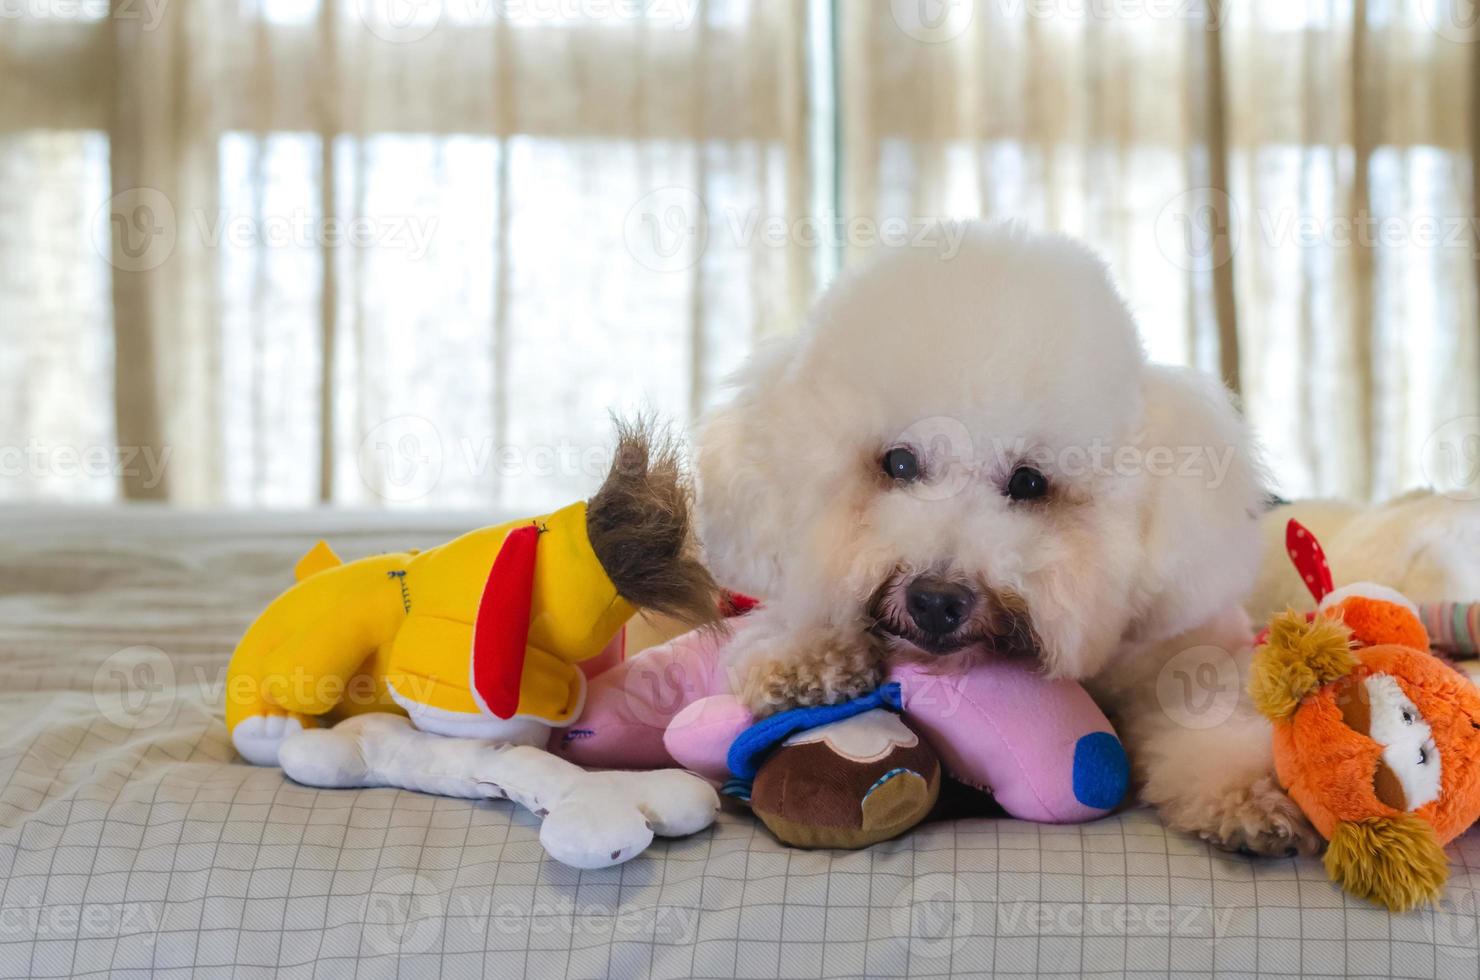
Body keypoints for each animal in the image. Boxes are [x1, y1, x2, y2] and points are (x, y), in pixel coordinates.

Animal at [698, 222, 1326, 858]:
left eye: (1028, 482)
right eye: (898, 463)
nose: (936, 601)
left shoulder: (1174, 650)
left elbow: (1202, 709)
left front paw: (1246, 794)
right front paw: (805, 658)